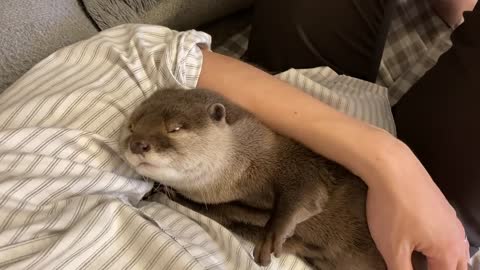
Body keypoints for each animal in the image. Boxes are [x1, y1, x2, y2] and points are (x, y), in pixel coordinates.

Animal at [120, 89, 386, 270]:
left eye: (174, 128)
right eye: (131, 127)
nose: (138, 144)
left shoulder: (297, 159)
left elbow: (305, 190)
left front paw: (272, 235)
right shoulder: (221, 205)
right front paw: (161, 191)